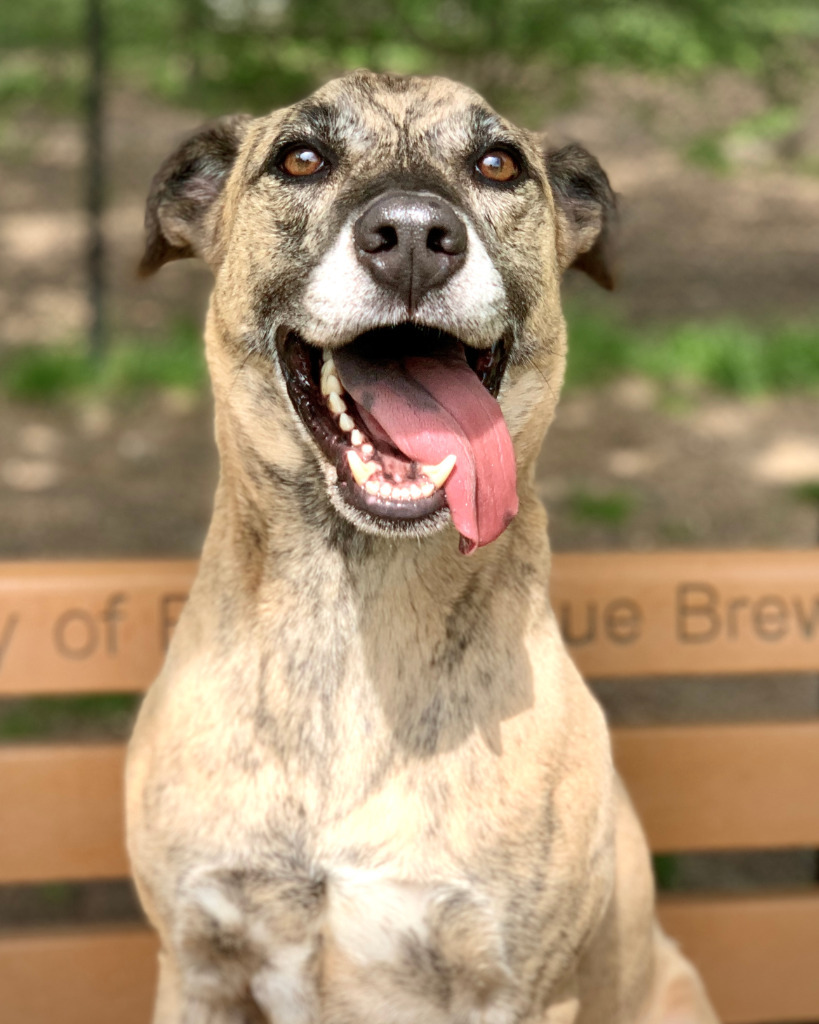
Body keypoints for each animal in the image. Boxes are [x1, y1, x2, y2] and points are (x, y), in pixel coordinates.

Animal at [126, 72, 716, 1024]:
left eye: (497, 163)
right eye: (300, 157)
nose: (411, 237)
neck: (354, 623)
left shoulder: (516, 987)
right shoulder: (197, 965)